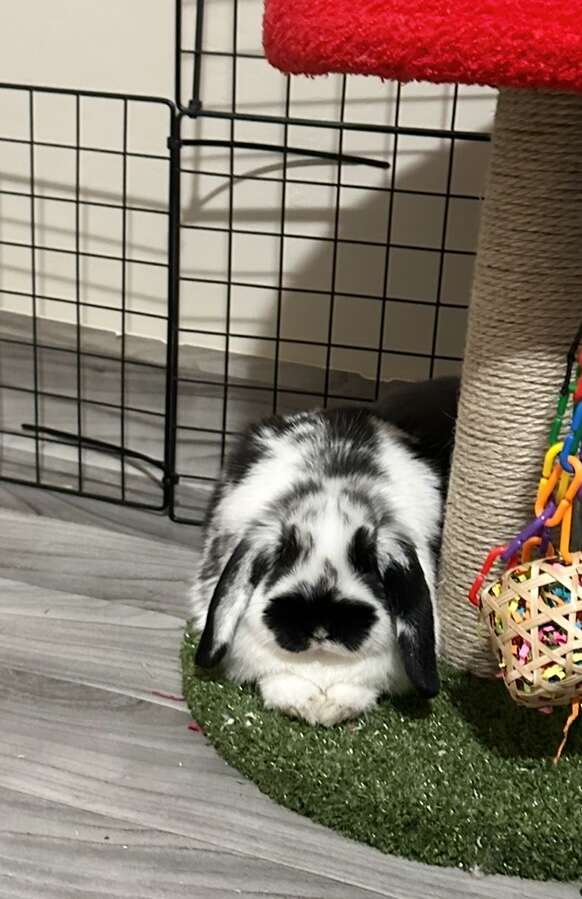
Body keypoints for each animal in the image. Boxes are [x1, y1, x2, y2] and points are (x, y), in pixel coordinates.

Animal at [192, 376, 460, 728]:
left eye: (368, 564)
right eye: (284, 555)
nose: (320, 625)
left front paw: (333, 709)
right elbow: (280, 682)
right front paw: (306, 706)